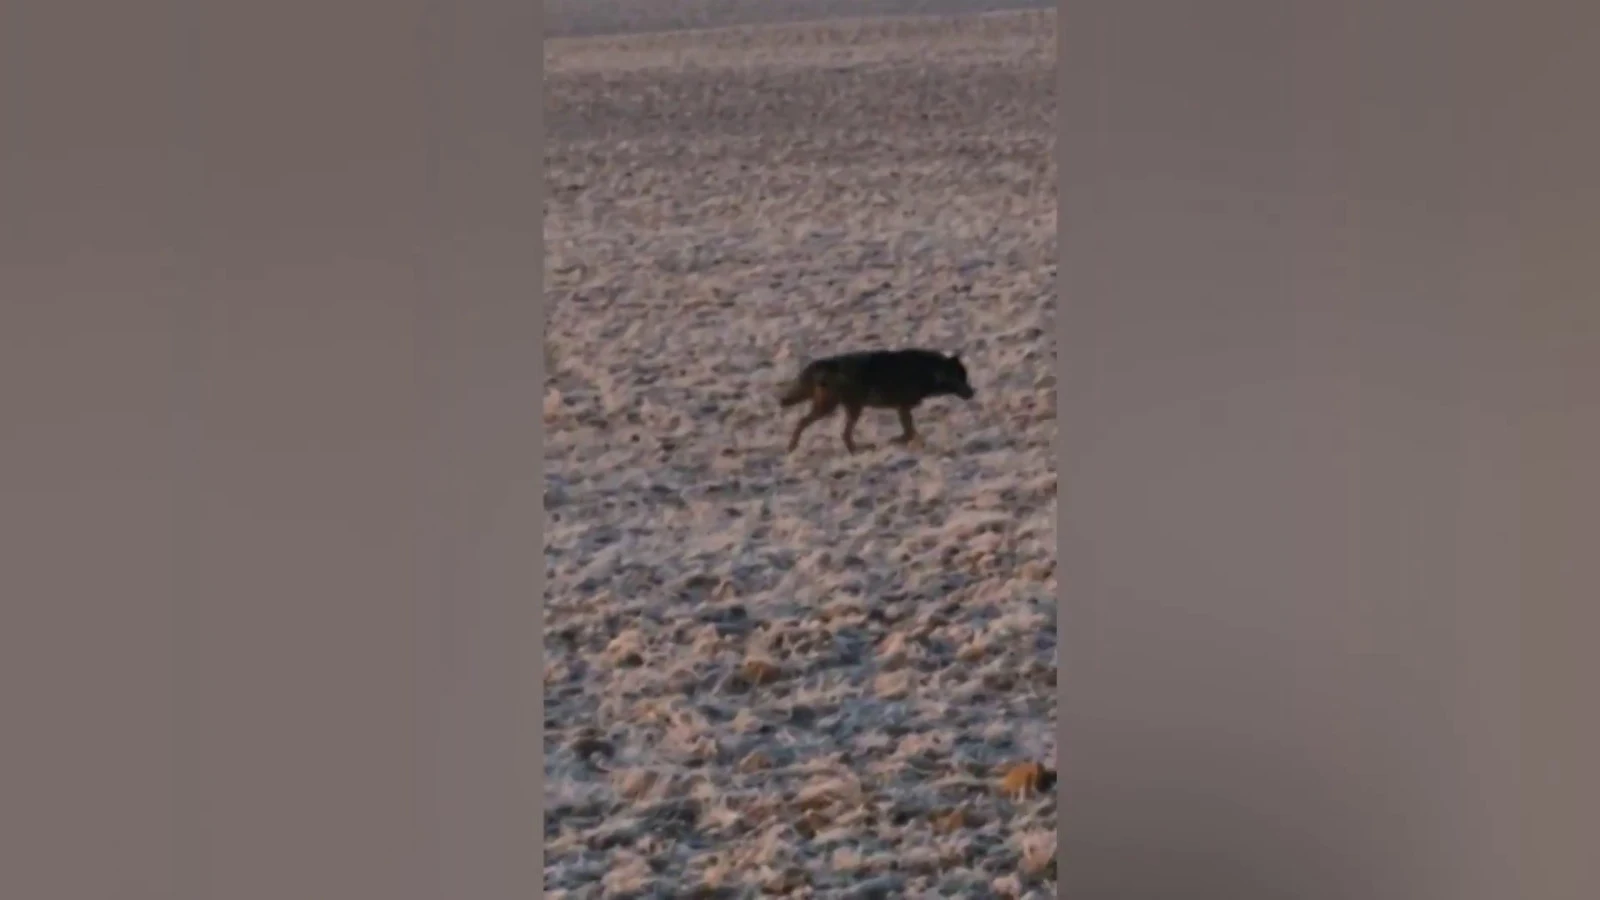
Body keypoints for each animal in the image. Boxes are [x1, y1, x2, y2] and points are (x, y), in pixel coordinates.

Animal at [776, 348, 976, 454]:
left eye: (966, 377)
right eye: (960, 378)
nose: (972, 392)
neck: (928, 371)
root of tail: (822, 363)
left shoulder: (902, 409)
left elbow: (909, 432)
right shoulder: (903, 408)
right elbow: (908, 433)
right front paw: (898, 441)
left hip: (850, 408)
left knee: (841, 433)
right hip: (833, 408)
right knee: (805, 422)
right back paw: (792, 446)